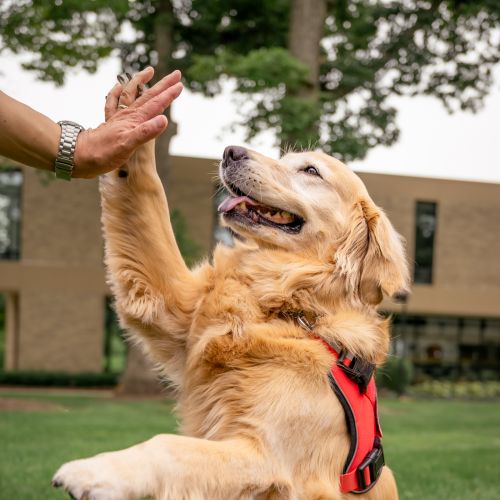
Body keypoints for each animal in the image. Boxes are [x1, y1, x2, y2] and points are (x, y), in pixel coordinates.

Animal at [52, 75, 408, 500]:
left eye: (310, 170)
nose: (229, 152)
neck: (289, 306)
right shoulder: (170, 307)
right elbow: (147, 202)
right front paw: (131, 117)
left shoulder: (267, 456)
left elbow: (167, 447)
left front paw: (95, 471)